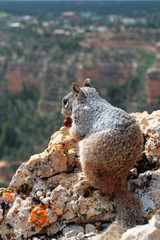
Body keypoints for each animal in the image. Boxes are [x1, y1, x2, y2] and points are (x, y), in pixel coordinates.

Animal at [61, 79, 144, 240]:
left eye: (65, 101)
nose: (62, 112)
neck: (89, 99)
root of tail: (118, 182)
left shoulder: (80, 118)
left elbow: (75, 133)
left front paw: (66, 128)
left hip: (87, 159)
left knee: (104, 187)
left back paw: (84, 181)